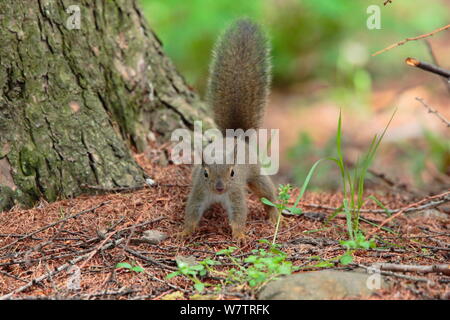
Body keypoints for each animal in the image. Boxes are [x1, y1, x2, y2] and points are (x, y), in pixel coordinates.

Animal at [179, 18, 278, 241]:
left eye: (232, 172)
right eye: (205, 173)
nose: (219, 187)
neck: (218, 196)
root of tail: (236, 137)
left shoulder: (235, 194)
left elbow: (239, 212)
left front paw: (239, 235)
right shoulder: (199, 191)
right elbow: (192, 211)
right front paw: (185, 231)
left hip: (256, 174)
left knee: (267, 193)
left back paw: (275, 215)